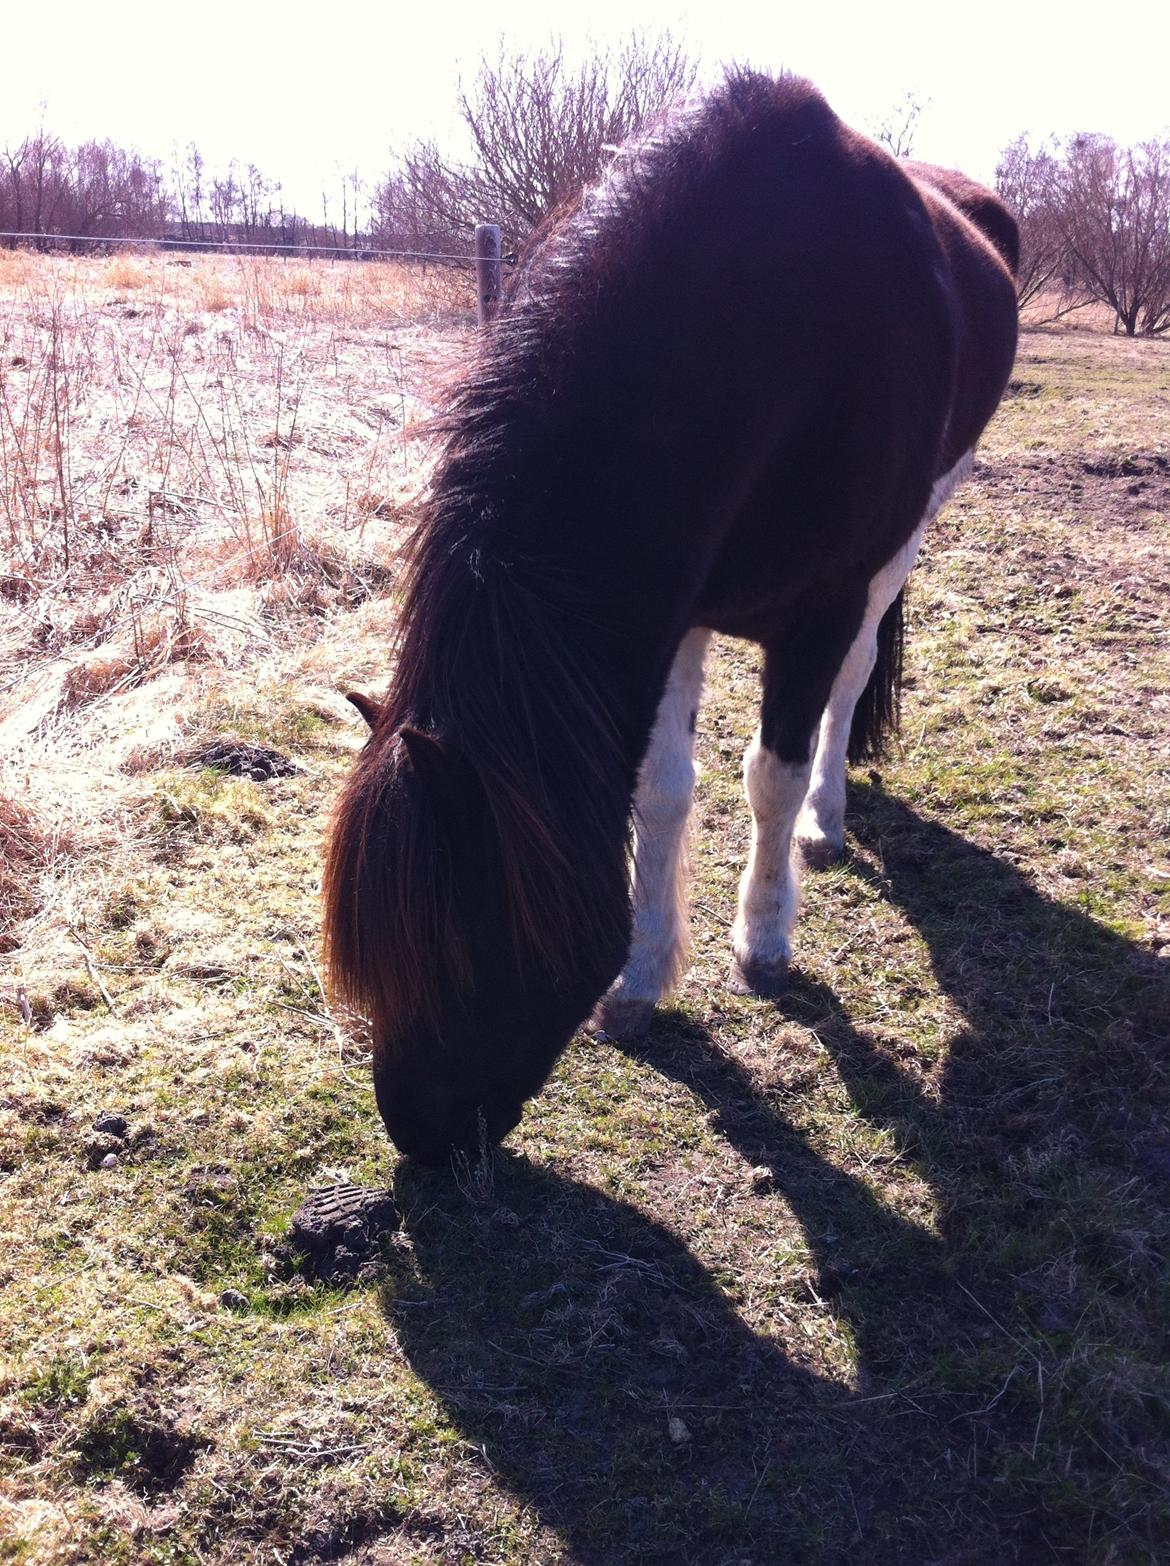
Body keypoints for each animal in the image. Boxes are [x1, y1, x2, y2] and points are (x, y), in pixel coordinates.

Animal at [321, 70, 1014, 1165]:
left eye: (466, 948)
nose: (422, 1141)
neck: (768, 330)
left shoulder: (813, 613)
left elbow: (769, 775)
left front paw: (763, 942)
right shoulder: (668, 612)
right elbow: (660, 791)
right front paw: (642, 976)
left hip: (908, 537)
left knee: (856, 678)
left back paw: (827, 822)